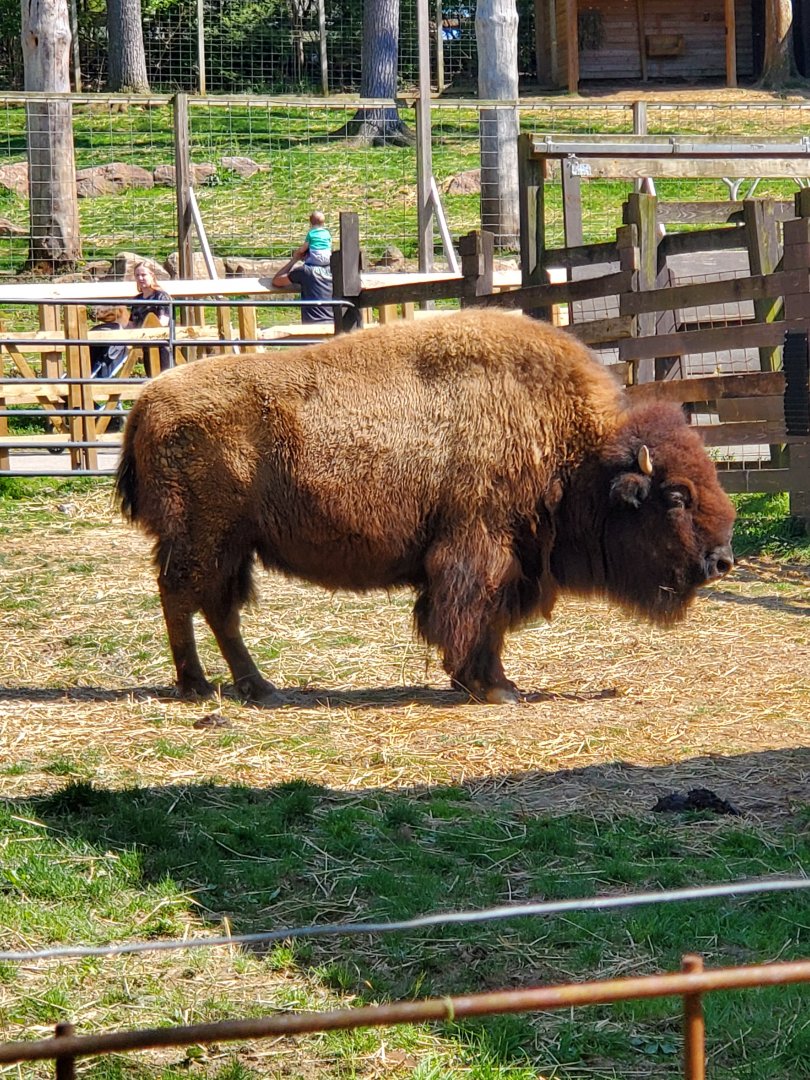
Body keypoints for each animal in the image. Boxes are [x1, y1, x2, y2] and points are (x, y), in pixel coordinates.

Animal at [116, 310, 735, 704]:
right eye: (676, 496)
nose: (722, 560)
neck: (573, 449)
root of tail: (146, 400)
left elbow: (489, 623)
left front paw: (492, 683)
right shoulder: (481, 550)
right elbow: (474, 618)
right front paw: (492, 688)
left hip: (232, 544)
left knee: (217, 607)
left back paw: (257, 688)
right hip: (204, 538)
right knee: (183, 598)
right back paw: (197, 686)